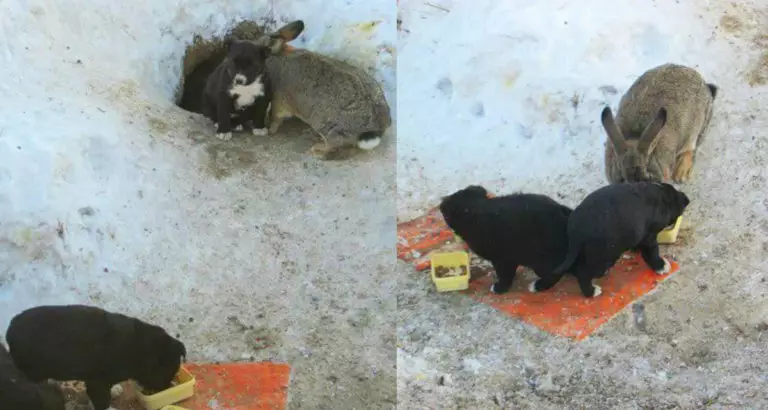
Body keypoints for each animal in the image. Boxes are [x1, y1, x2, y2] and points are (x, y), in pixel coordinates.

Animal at [249, 20, 392, 159]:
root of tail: (375, 129)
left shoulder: (278, 99)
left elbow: (275, 116)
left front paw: (270, 129)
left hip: (326, 126)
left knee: (338, 146)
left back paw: (317, 150)